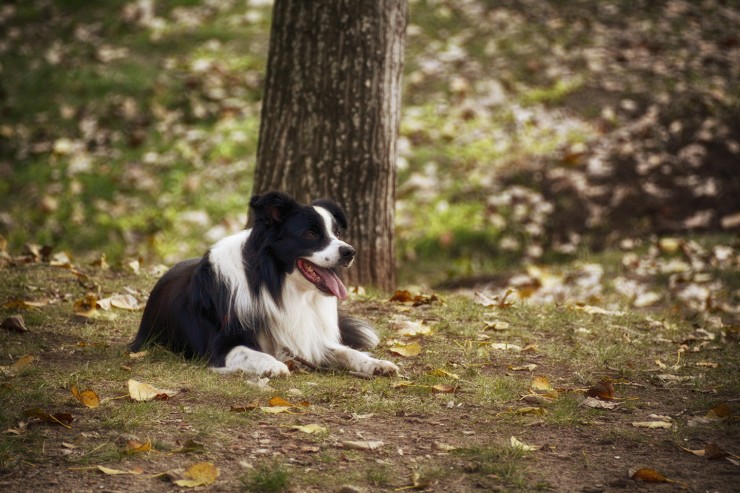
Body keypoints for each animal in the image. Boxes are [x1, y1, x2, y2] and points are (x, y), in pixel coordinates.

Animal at [132, 189, 398, 376]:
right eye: (311, 234)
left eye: (337, 233)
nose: (350, 252)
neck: (275, 284)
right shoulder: (220, 345)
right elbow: (248, 352)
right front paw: (273, 365)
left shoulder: (309, 339)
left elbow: (347, 351)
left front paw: (375, 363)